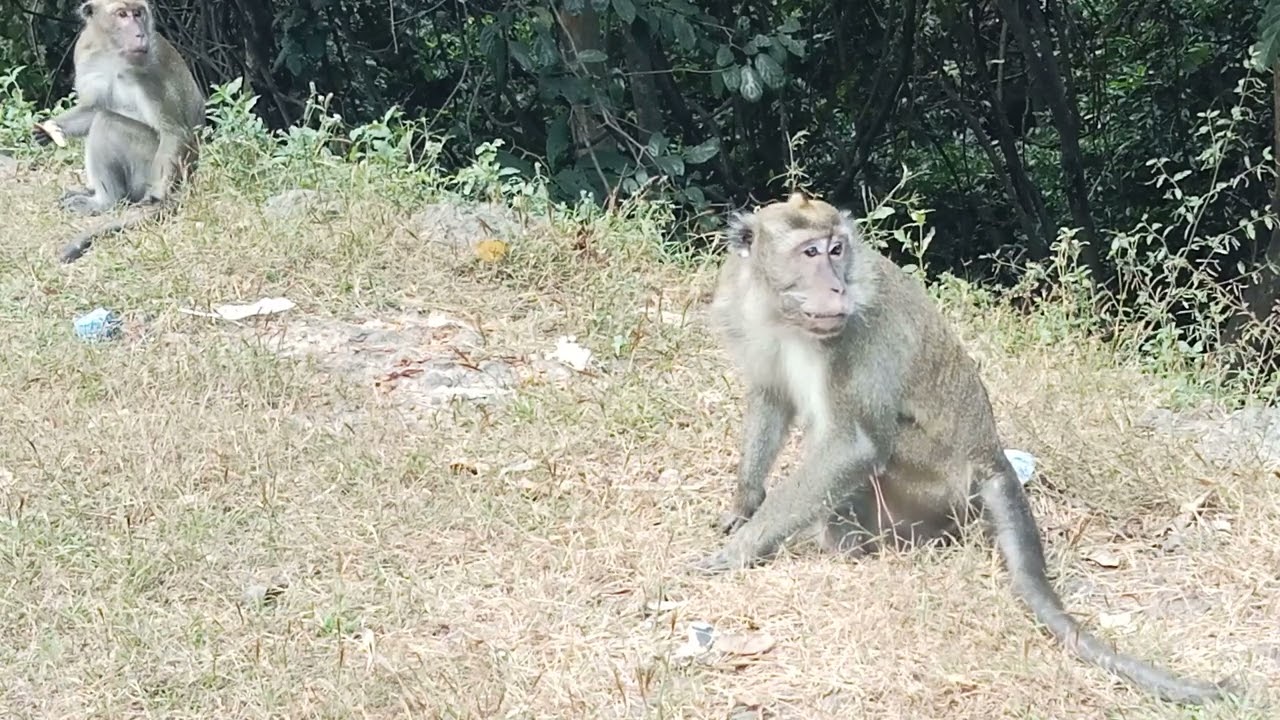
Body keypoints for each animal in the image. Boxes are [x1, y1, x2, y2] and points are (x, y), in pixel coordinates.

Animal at [32, 0, 205, 263]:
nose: (140, 34)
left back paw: (104, 202)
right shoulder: (85, 54)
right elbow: (93, 108)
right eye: (122, 14)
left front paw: (156, 196)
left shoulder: (148, 72)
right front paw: (49, 130)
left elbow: (173, 131)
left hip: (147, 166)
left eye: (138, 13)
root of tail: (191, 175)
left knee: (107, 123)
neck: (113, 54)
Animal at [696, 192, 1235, 706]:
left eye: (837, 250)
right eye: (810, 252)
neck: (781, 314)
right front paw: (744, 506)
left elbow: (852, 445)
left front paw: (742, 549)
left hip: (933, 482)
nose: (836, 288)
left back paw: (855, 542)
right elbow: (771, 398)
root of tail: (990, 457)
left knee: (873, 446)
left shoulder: (857, 329)